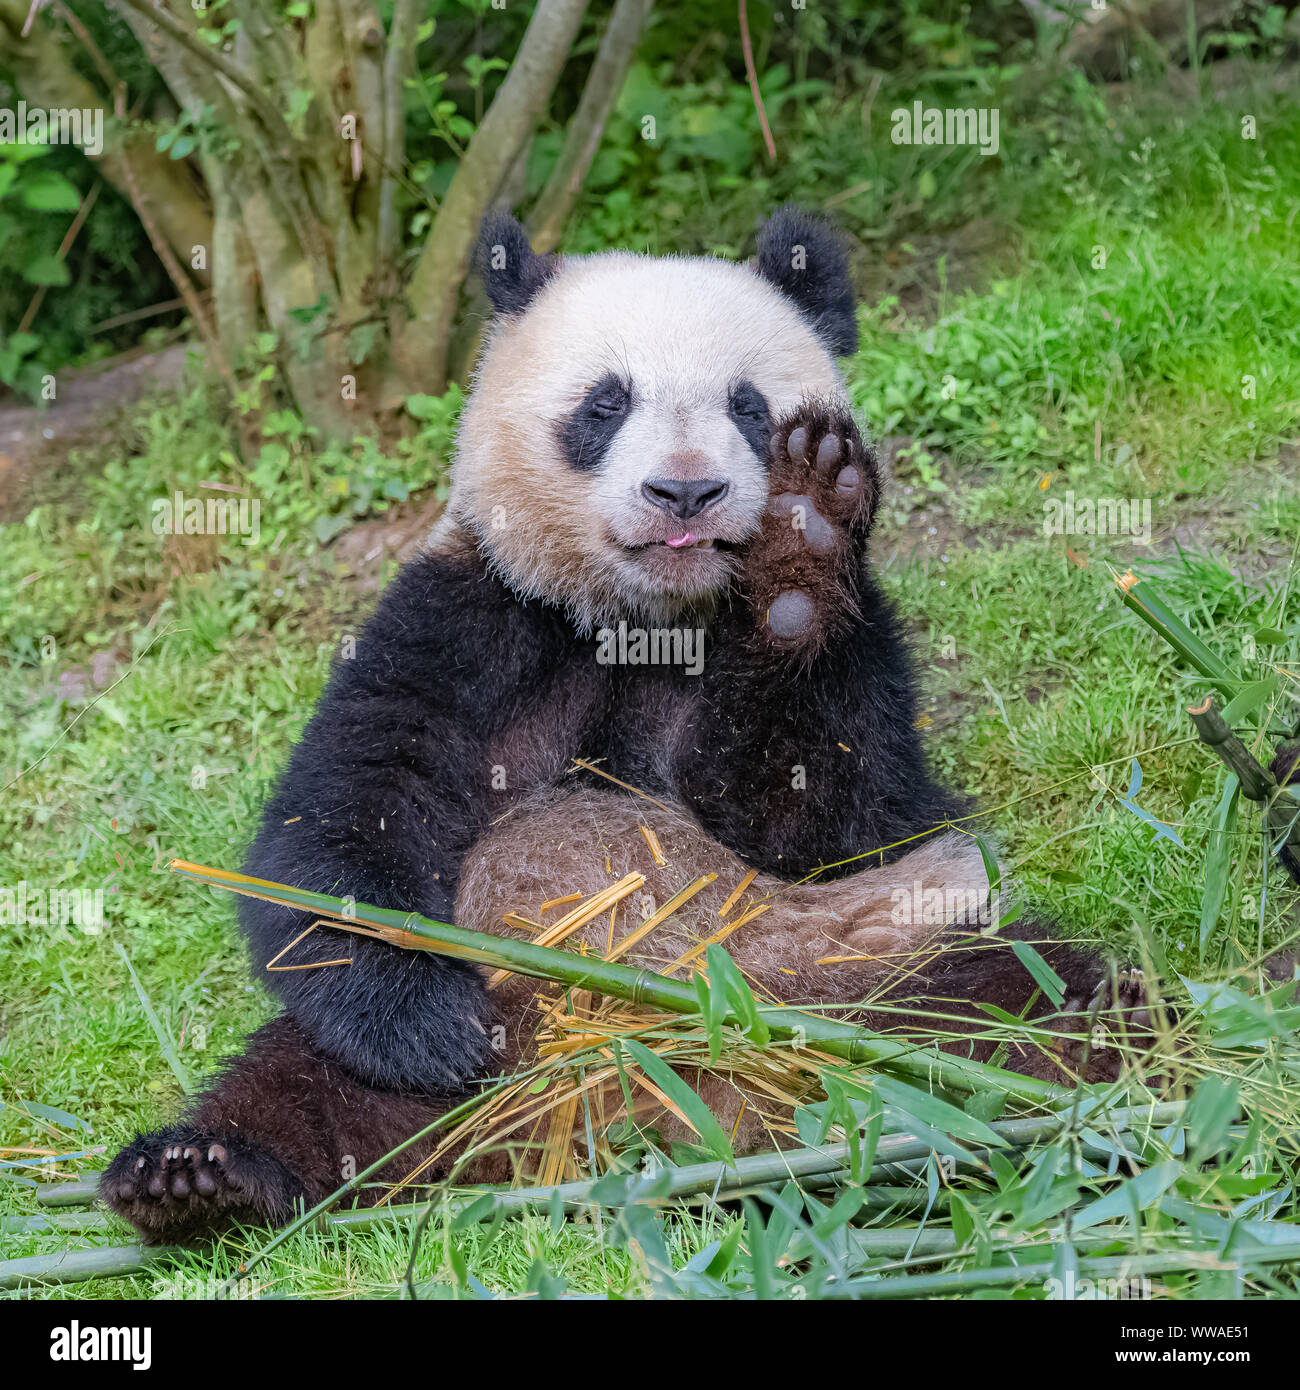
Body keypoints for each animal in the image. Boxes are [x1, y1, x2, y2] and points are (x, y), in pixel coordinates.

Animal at [102, 206, 1157, 1243]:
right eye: (604, 405)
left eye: (748, 407)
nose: (684, 491)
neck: (648, 618)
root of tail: (629, 1104)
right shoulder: (471, 615)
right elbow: (343, 824)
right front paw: (428, 1026)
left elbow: (837, 818)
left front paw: (805, 546)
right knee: (308, 1093)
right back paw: (201, 1178)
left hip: (871, 959)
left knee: (1015, 1006)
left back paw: (1117, 1082)